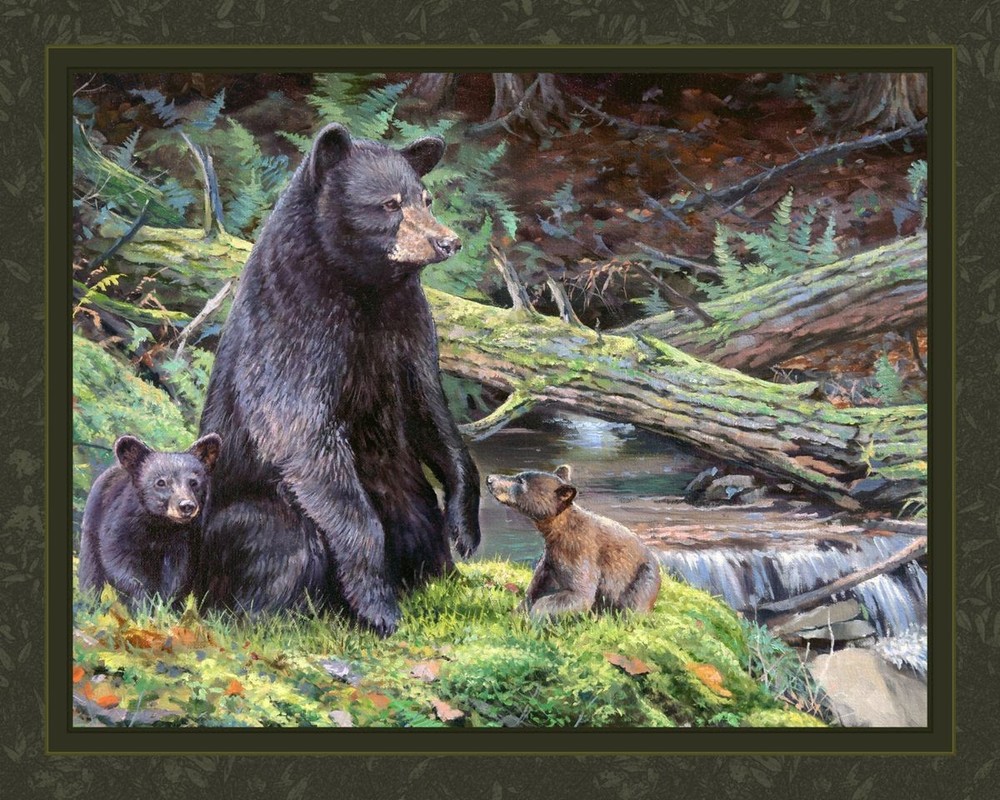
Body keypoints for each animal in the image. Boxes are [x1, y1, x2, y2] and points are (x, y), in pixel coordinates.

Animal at [78, 433, 222, 610]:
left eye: (194, 482)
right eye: (161, 482)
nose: (186, 506)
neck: (159, 526)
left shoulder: (185, 540)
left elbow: (179, 573)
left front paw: (166, 607)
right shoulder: (120, 527)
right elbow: (120, 564)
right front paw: (143, 605)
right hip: (91, 528)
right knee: (90, 571)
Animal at [196, 123, 481, 636]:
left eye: (426, 198)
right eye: (389, 204)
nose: (448, 242)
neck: (363, 287)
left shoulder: (405, 324)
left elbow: (428, 407)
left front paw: (464, 528)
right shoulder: (295, 325)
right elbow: (300, 429)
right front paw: (376, 605)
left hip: (402, 485)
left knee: (416, 515)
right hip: (242, 515)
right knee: (283, 539)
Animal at [486, 465, 661, 620]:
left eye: (520, 480)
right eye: (518, 476)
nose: (489, 479)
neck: (558, 532)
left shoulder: (579, 550)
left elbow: (580, 592)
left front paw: (535, 618)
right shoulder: (550, 560)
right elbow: (536, 589)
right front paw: (516, 615)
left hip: (642, 579)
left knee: (633, 605)